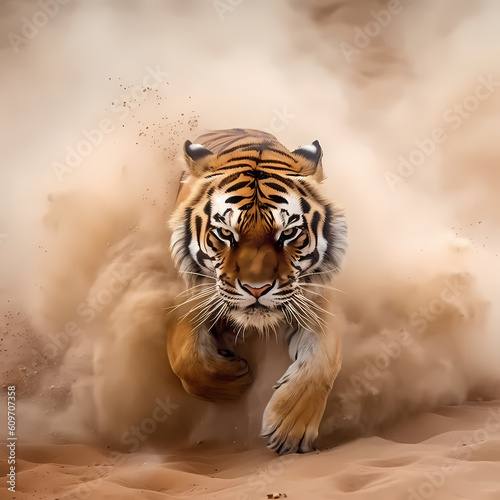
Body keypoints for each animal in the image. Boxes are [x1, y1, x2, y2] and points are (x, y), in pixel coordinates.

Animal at [168, 128, 348, 454]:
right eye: (225, 233)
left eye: (288, 233)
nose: (257, 289)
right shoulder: (188, 295)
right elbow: (186, 359)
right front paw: (237, 380)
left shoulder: (315, 299)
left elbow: (324, 362)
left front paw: (289, 428)